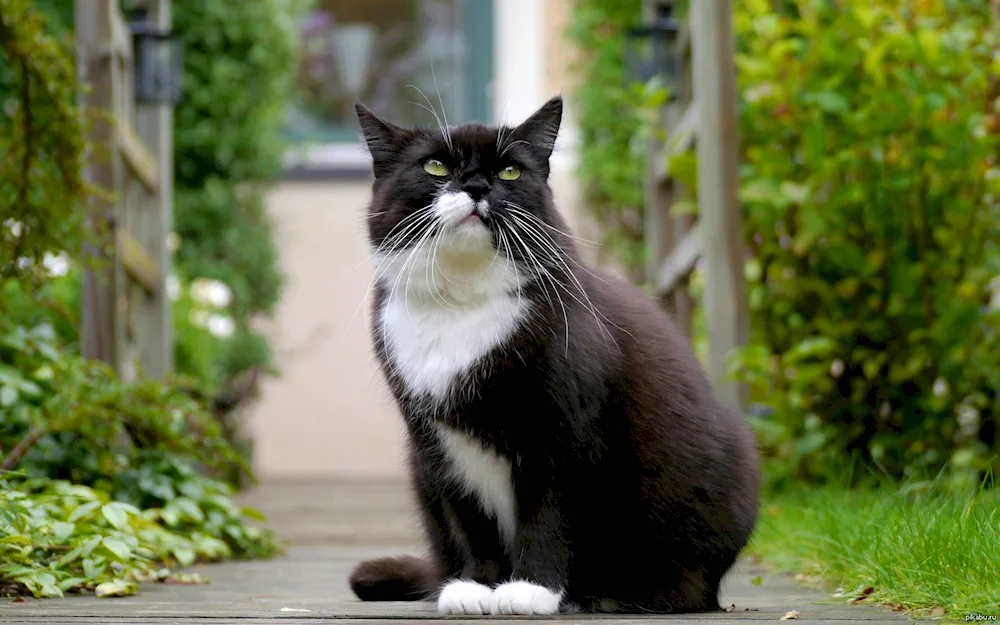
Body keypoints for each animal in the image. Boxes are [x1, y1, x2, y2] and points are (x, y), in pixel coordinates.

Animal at [350, 95, 756, 612]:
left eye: (509, 171)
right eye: (435, 165)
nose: (477, 186)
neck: (461, 303)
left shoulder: (566, 428)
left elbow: (550, 512)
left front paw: (530, 590)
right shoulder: (435, 441)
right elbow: (468, 516)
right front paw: (474, 587)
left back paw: (609, 595)